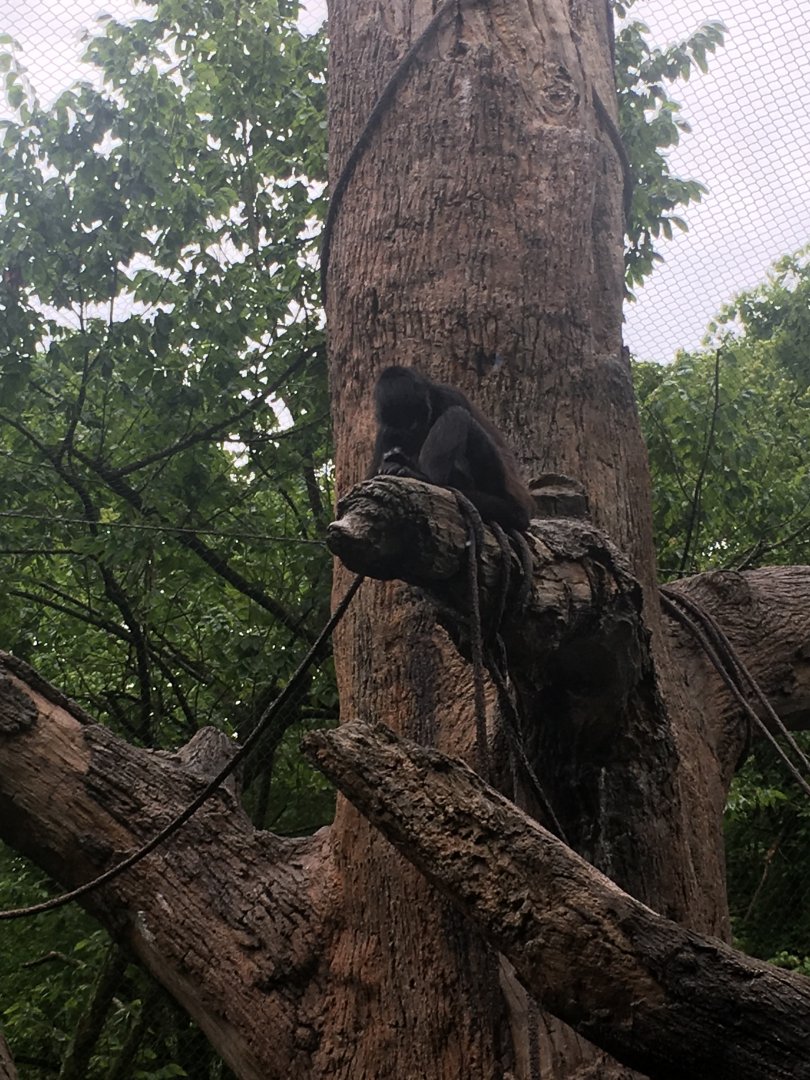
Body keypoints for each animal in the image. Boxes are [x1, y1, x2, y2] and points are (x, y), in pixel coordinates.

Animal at [368, 366, 535, 532]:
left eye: (414, 422)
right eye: (402, 429)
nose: (410, 434)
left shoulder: (450, 396)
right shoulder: (386, 431)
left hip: (498, 479)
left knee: (457, 414)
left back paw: (425, 478)